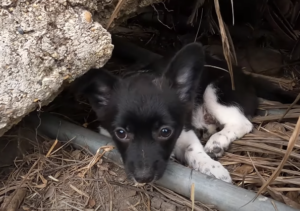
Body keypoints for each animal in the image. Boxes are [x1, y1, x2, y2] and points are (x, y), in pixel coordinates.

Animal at [73, 42, 298, 184]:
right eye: (121, 133)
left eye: (165, 131)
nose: (144, 178)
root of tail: (245, 76)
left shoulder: (185, 130)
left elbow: (194, 151)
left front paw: (214, 169)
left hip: (216, 90)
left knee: (243, 122)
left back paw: (217, 142)